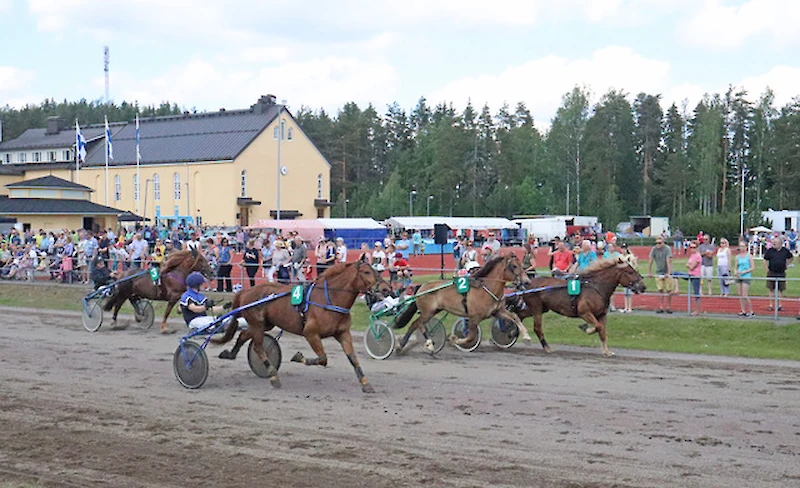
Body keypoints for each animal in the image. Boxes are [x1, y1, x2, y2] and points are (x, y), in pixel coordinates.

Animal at [211, 264, 390, 392]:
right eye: (366, 272)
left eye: (375, 270)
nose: (386, 288)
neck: (330, 299)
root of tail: (246, 291)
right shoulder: (311, 333)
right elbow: (323, 359)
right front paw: (298, 357)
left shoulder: (343, 333)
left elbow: (353, 359)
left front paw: (366, 384)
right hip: (257, 323)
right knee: (258, 347)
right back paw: (273, 376)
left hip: (264, 325)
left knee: (243, 336)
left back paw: (230, 354)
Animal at [394, 254, 532, 352]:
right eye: (514, 266)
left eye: (521, 265)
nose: (527, 282)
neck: (486, 288)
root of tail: (421, 287)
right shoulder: (474, 317)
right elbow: (470, 337)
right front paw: (453, 339)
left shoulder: (498, 311)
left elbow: (514, 317)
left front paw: (526, 337)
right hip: (427, 311)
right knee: (415, 324)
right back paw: (401, 346)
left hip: (432, 311)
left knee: (420, 324)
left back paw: (429, 344)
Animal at [512, 258, 648, 356]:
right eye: (630, 272)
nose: (643, 287)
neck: (596, 287)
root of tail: (527, 284)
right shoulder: (585, 313)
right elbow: (598, 327)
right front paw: (586, 328)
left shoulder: (601, 315)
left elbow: (602, 331)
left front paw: (606, 351)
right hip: (536, 308)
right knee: (537, 328)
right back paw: (546, 347)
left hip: (541, 308)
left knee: (519, 315)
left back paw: (521, 333)